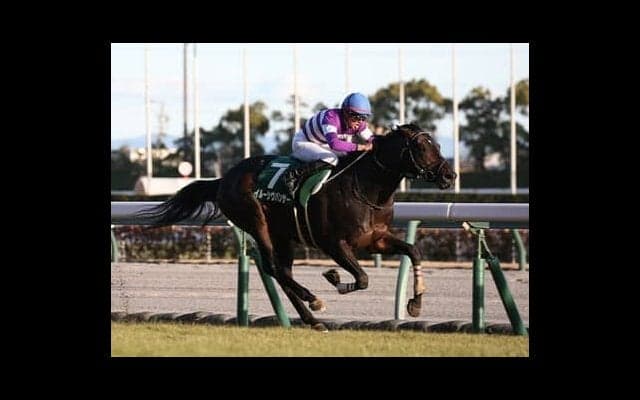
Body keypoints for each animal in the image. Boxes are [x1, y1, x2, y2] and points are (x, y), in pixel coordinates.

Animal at [139, 123, 456, 331]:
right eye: (421, 146)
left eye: (438, 144)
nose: (450, 175)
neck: (365, 186)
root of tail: (223, 179)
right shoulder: (333, 243)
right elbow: (363, 278)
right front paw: (333, 277)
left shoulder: (374, 239)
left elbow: (413, 251)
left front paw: (415, 304)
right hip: (255, 221)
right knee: (274, 267)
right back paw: (313, 301)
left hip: (283, 235)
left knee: (281, 271)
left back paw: (313, 320)